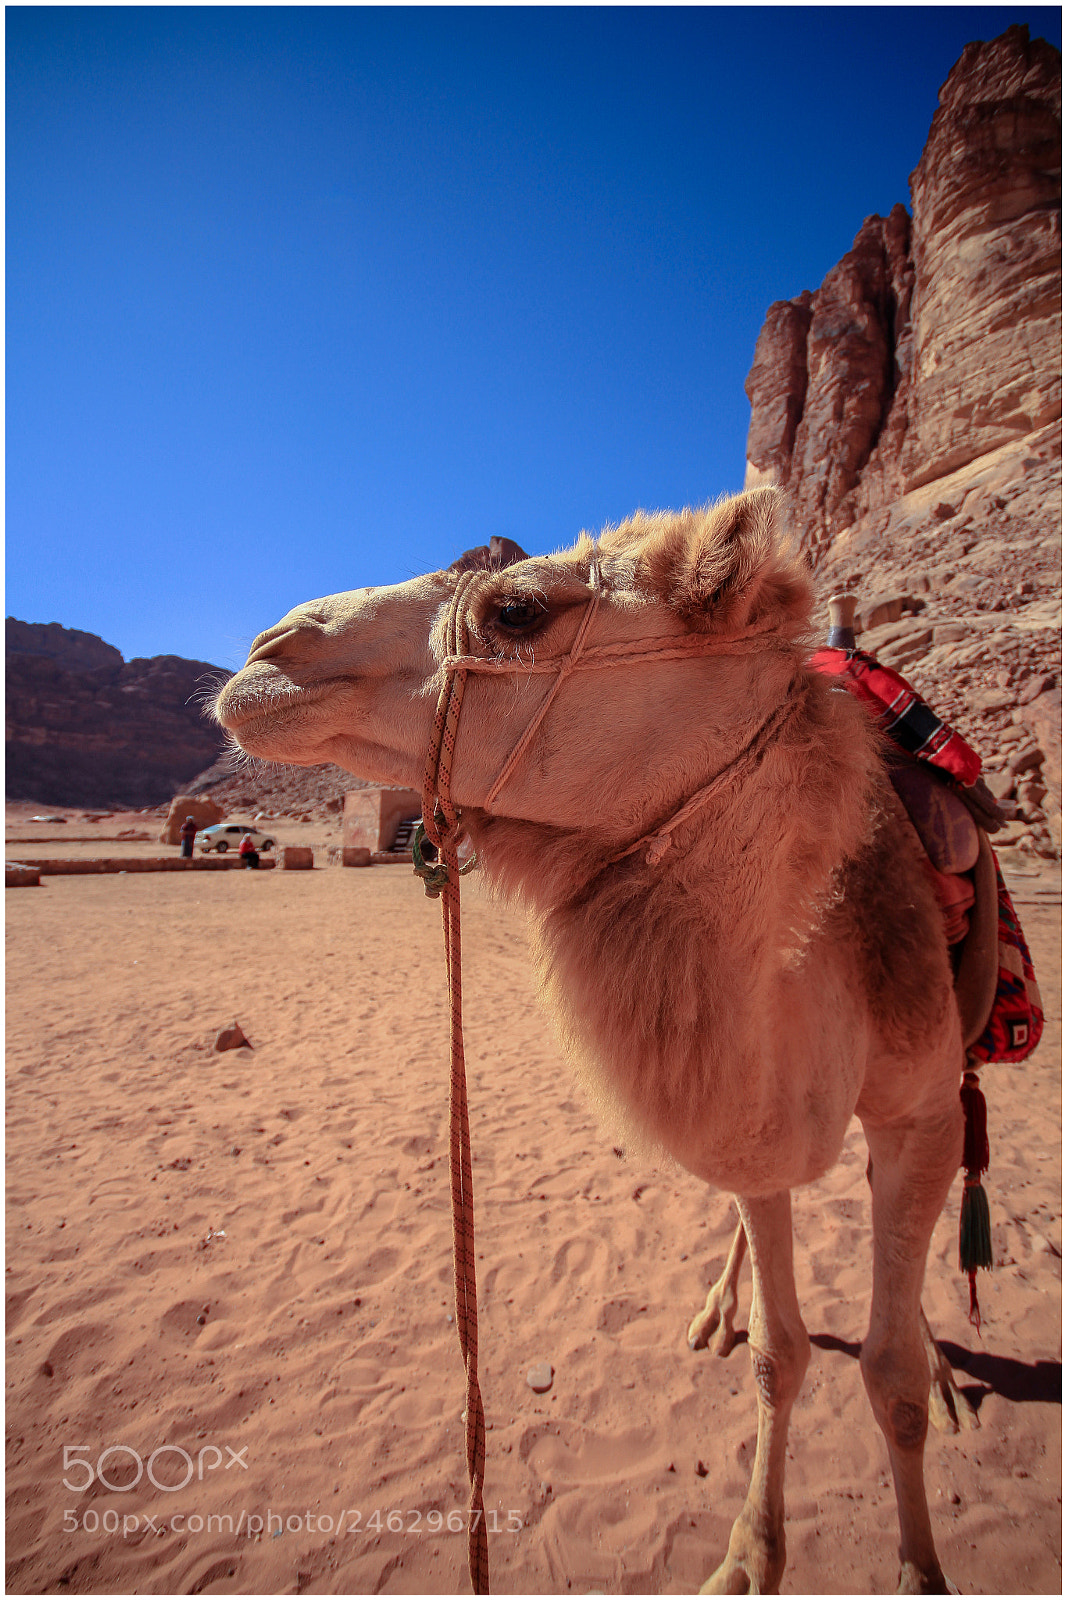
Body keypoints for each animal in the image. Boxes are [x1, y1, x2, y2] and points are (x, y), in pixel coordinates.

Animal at [216, 488, 969, 1594]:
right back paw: (717, 1307)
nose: (269, 655)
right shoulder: (753, 1122)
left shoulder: (922, 1110)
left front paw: (919, 1554)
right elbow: (779, 1354)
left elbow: (891, 1376)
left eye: (518, 609)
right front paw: (749, 1554)